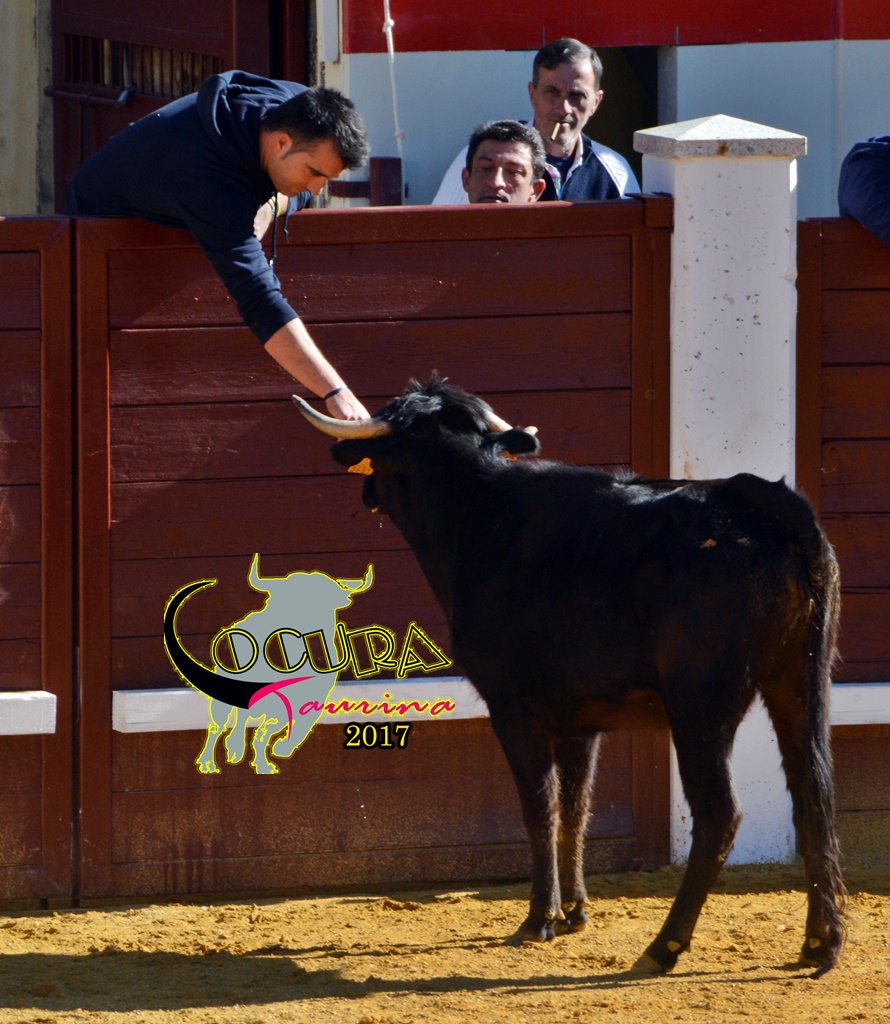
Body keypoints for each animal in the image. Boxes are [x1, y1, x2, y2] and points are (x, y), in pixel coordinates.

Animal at [293, 377, 846, 977]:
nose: (365, 493)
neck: (476, 515)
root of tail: (765, 505)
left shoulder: (514, 709)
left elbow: (541, 807)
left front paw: (539, 918)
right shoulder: (581, 720)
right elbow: (577, 809)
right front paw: (575, 911)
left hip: (701, 706)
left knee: (720, 813)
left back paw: (665, 945)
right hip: (801, 681)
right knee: (813, 795)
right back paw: (821, 941)